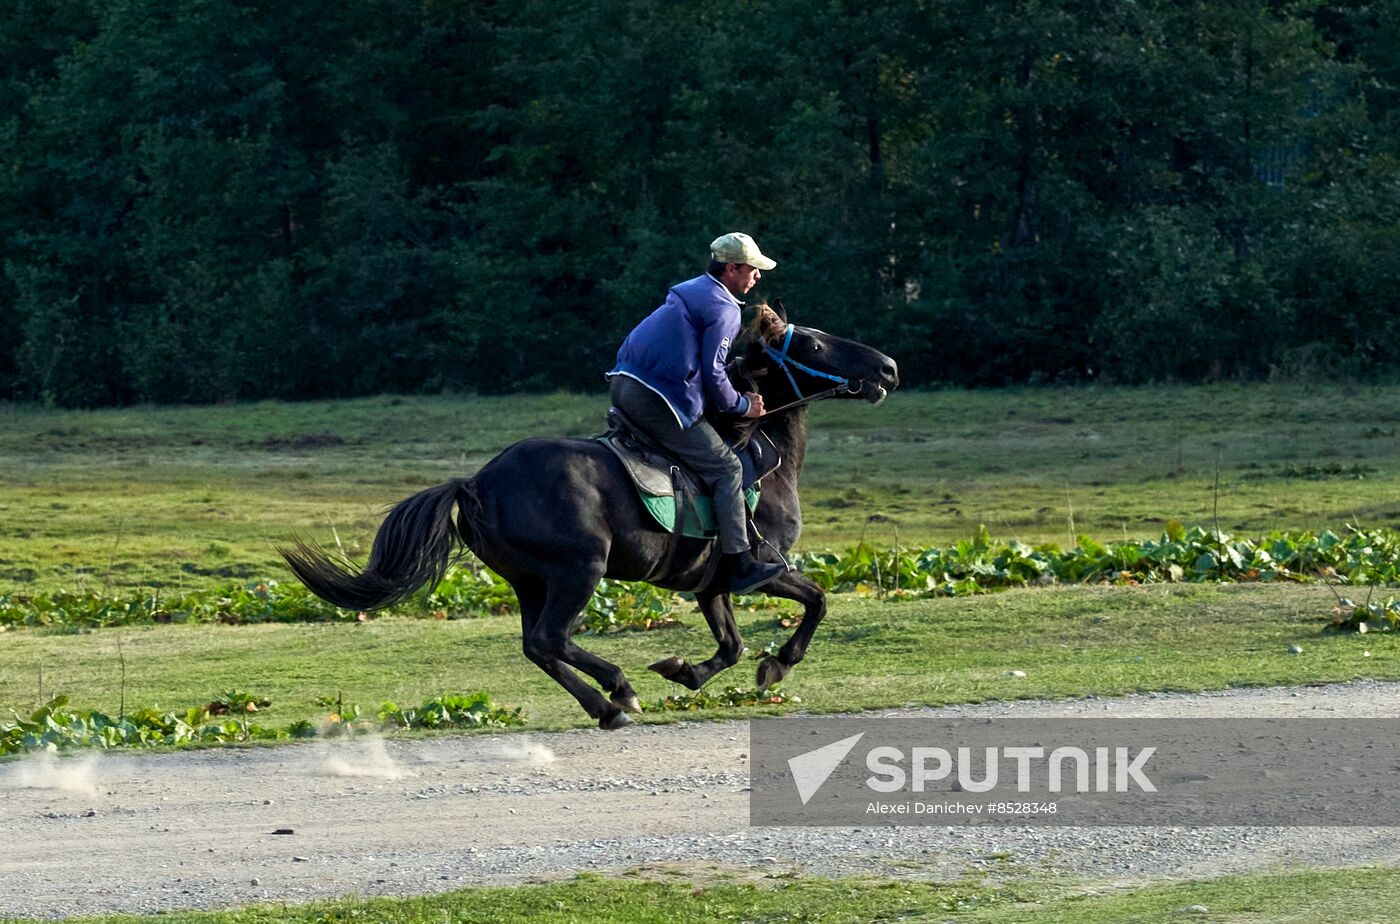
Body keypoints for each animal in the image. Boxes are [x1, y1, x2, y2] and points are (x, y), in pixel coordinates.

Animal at [281, 303, 896, 728]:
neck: (758, 450)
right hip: (579, 570)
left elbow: (730, 646)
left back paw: (605, 705)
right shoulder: (761, 570)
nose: (887, 366)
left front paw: (687, 671)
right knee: (552, 639)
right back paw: (618, 691)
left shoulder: (710, 584)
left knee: (537, 645)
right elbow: (816, 601)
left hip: (531, 580)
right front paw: (778, 665)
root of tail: (475, 482)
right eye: (813, 343)